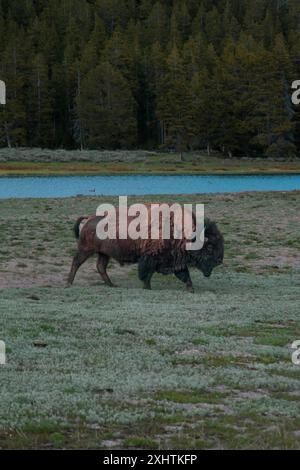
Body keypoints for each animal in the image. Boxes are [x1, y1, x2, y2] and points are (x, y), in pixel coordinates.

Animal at [67, 207, 223, 294]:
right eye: (210, 247)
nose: (220, 260)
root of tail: (90, 218)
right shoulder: (150, 259)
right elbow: (146, 274)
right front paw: (147, 287)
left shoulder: (174, 261)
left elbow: (184, 275)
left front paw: (191, 290)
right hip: (86, 250)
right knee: (76, 262)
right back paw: (69, 282)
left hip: (104, 254)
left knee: (100, 267)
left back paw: (112, 285)